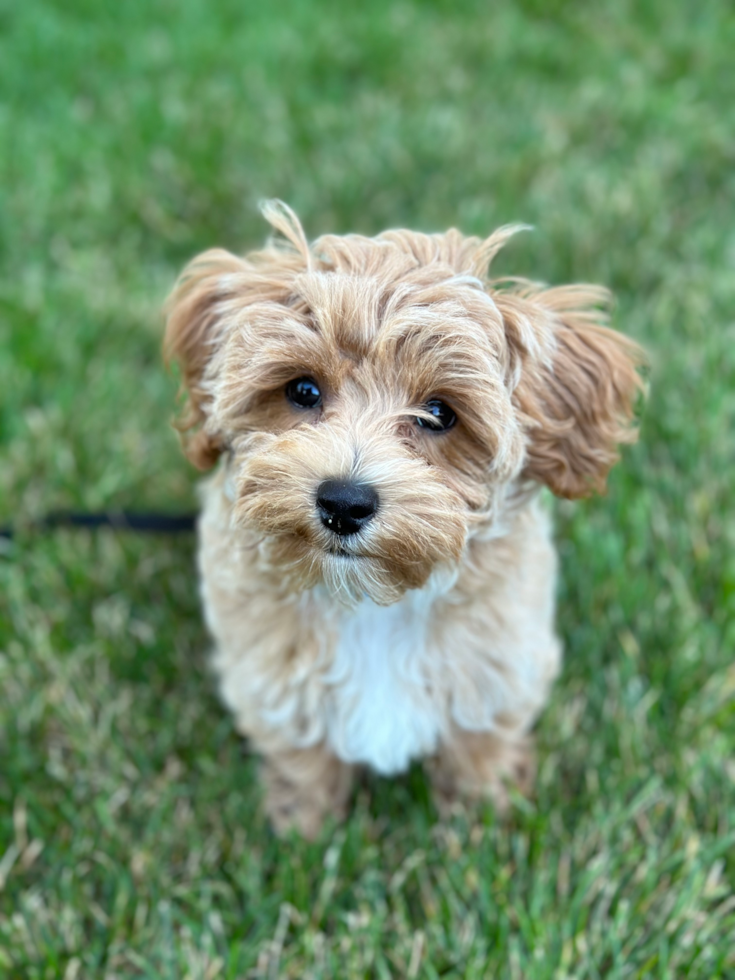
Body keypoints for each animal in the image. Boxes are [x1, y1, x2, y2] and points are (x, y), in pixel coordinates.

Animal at [162, 203, 644, 840]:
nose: (343, 502)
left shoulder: (497, 659)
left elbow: (479, 741)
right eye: (303, 390)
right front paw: (303, 828)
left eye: (439, 413)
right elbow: (302, 747)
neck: (372, 601)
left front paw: (483, 818)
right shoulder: (268, 669)